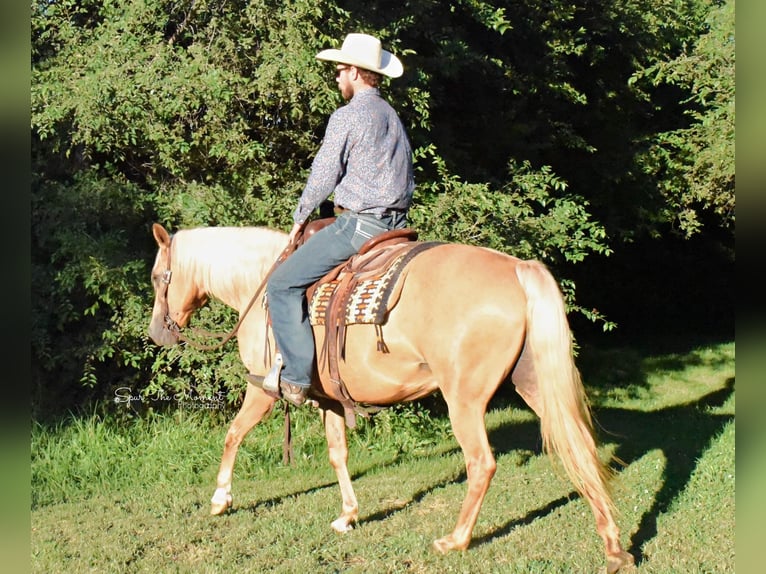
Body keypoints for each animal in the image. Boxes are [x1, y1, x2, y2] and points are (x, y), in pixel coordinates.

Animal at [147, 223, 632, 572]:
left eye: (156, 277)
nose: (156, 334)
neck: (259, 285)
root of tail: (516, 268)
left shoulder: (262, 389)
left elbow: (233, 433)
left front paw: (220, 498)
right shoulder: (329, 400)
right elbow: (338, 453)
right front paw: (348, 514)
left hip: (464, 400)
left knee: (481, 463)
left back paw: (455, 540)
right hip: (533, 382)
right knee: (580, 447)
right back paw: (613, 546)